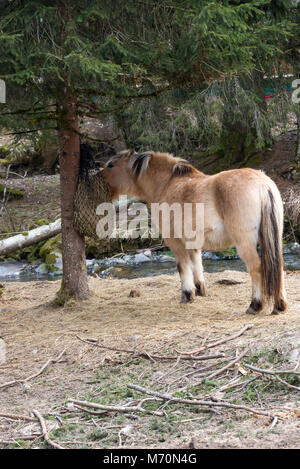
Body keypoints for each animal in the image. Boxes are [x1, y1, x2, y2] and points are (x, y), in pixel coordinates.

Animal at [102, 148, 288, 314]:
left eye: (111, 165)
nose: (99, 178)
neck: (166, 185)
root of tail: (262, 184)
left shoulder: (175, 242)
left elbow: (183, 267)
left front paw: (187, 295)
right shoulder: (192, 242)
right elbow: (196, 264)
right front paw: (200, 290)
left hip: (245, 243)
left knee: (256, 268)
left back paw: (255, 305)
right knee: (279, 265)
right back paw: (279, 305)